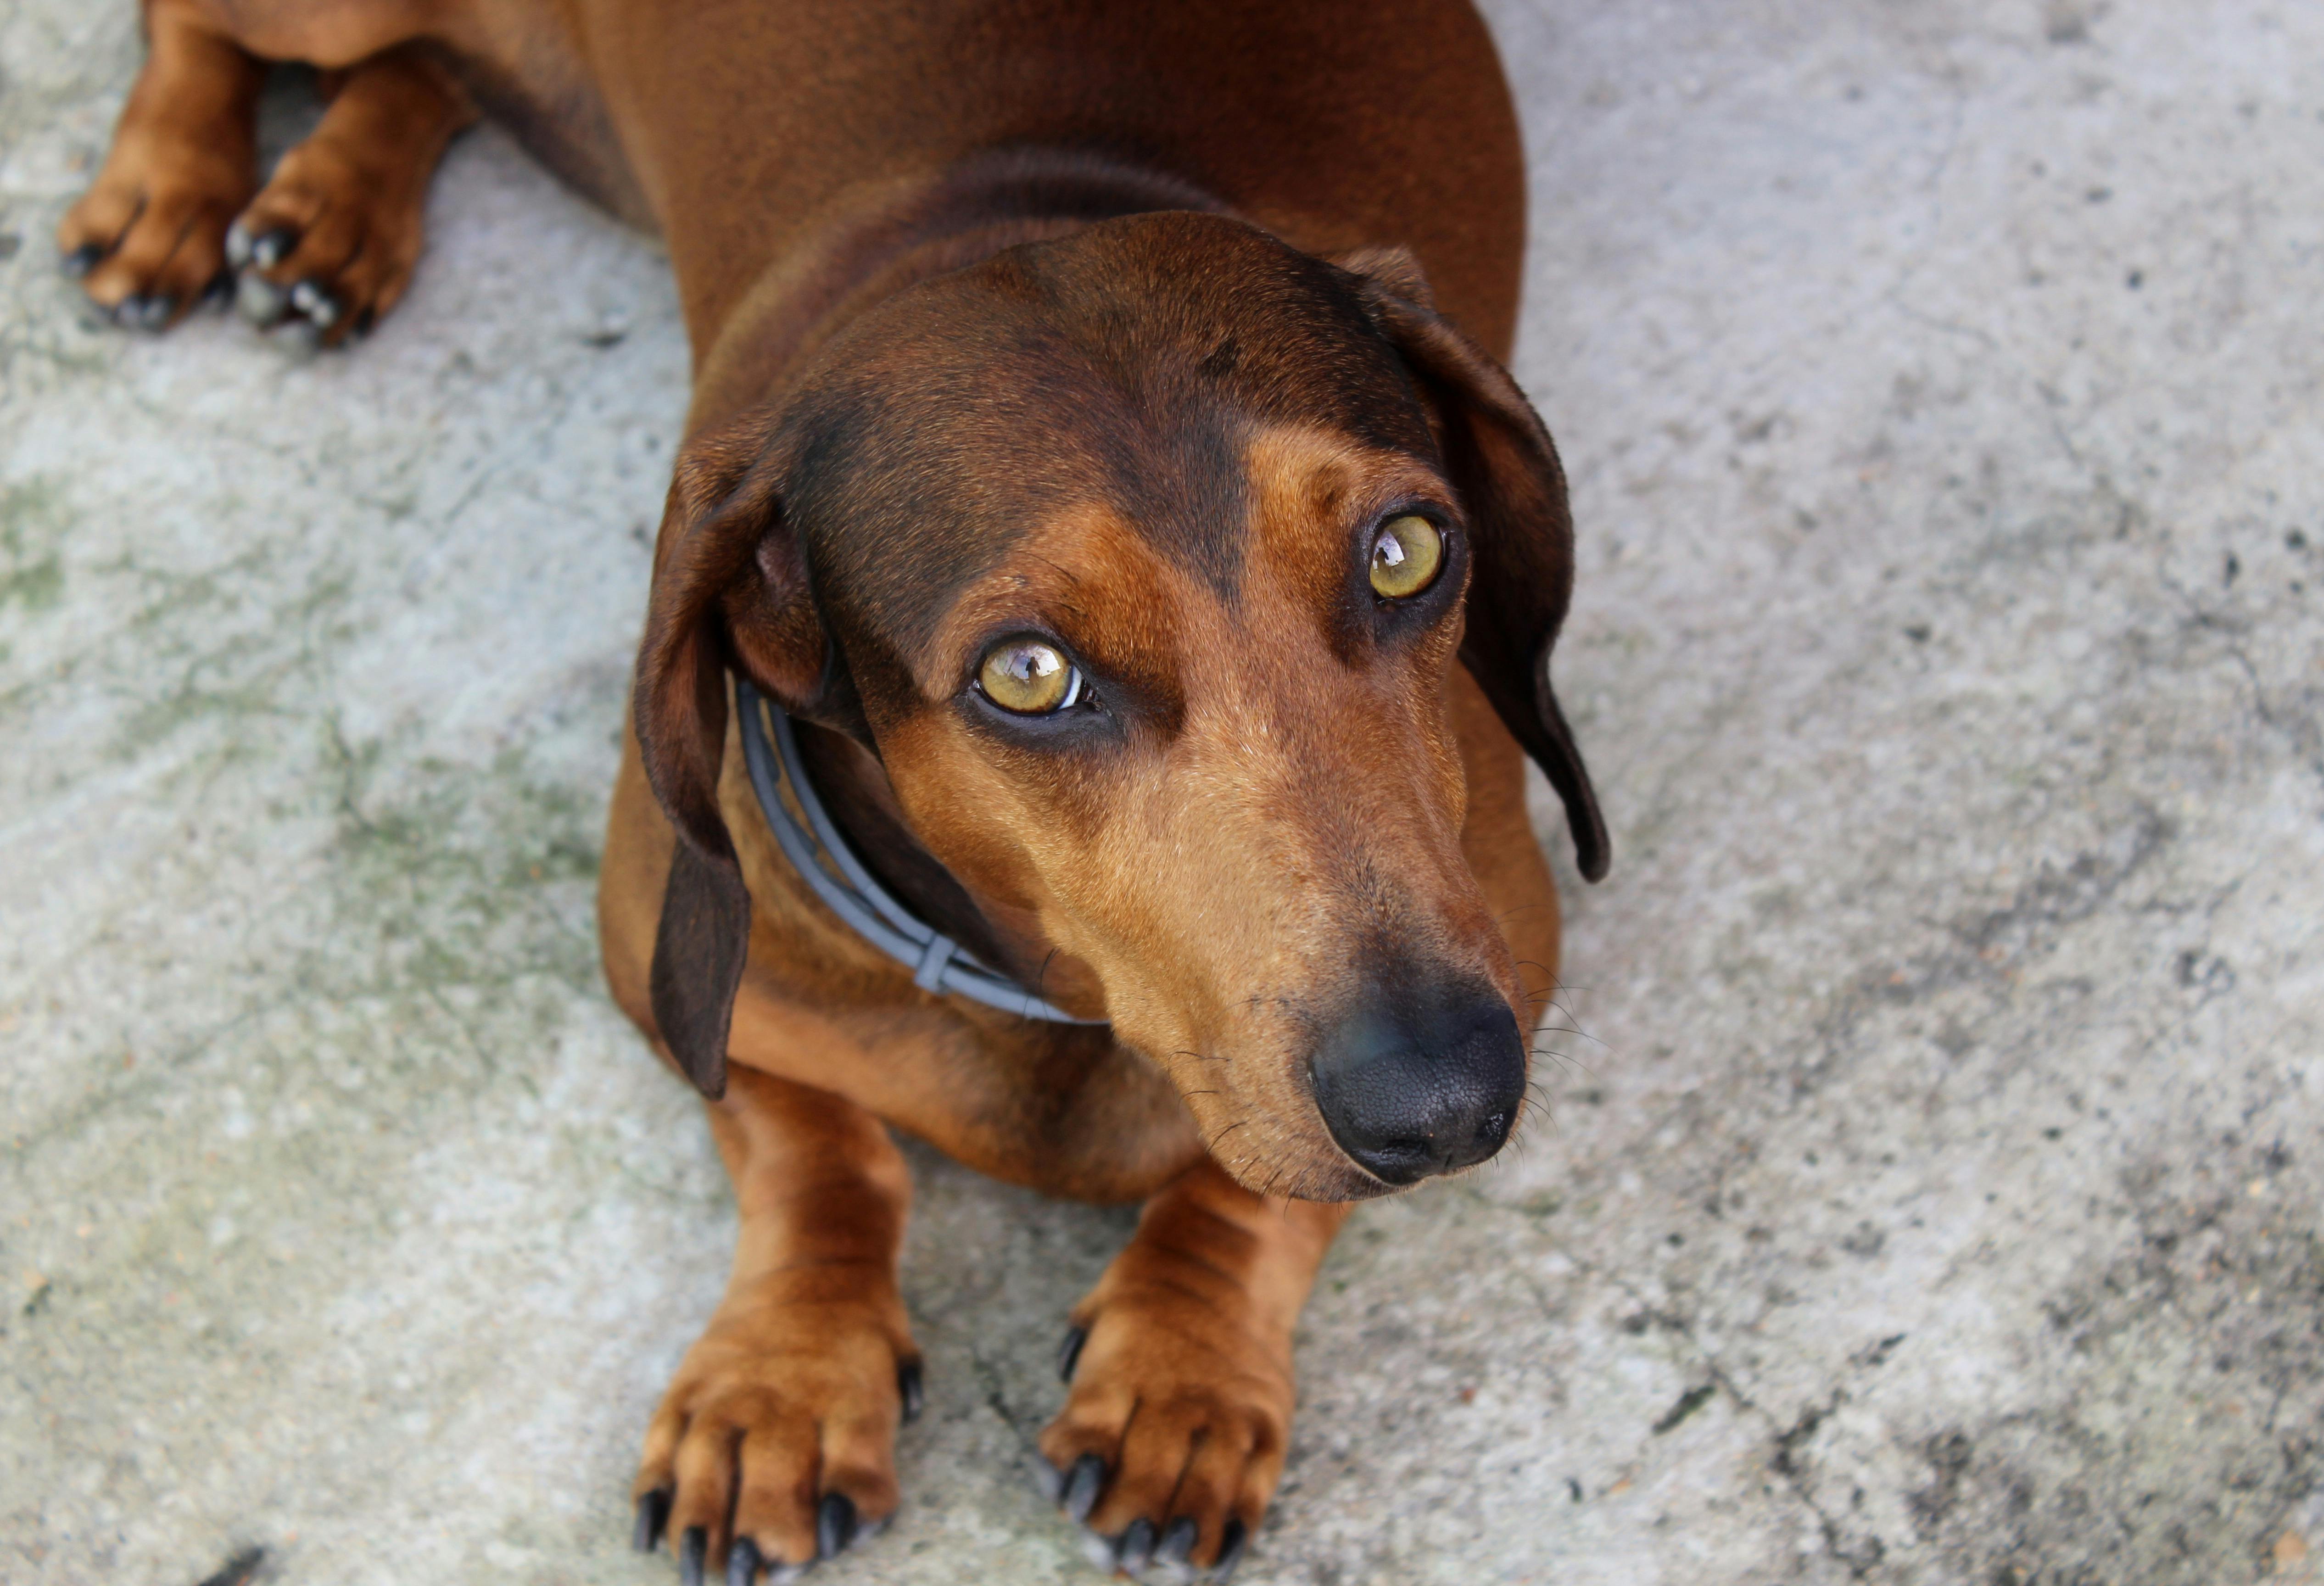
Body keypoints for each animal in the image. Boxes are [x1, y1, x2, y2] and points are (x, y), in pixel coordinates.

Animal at [68, 0, 1599, 1572]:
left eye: (1407, 551)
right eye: (1027, 673)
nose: (1446, 1101)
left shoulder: (1511, 932)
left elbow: (1249, 1195)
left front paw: (1182, 1371)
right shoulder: (667, 962)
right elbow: (821, 1154)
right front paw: (781, 1386)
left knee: (423, 71)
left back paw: (329, 214)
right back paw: (173, 199)